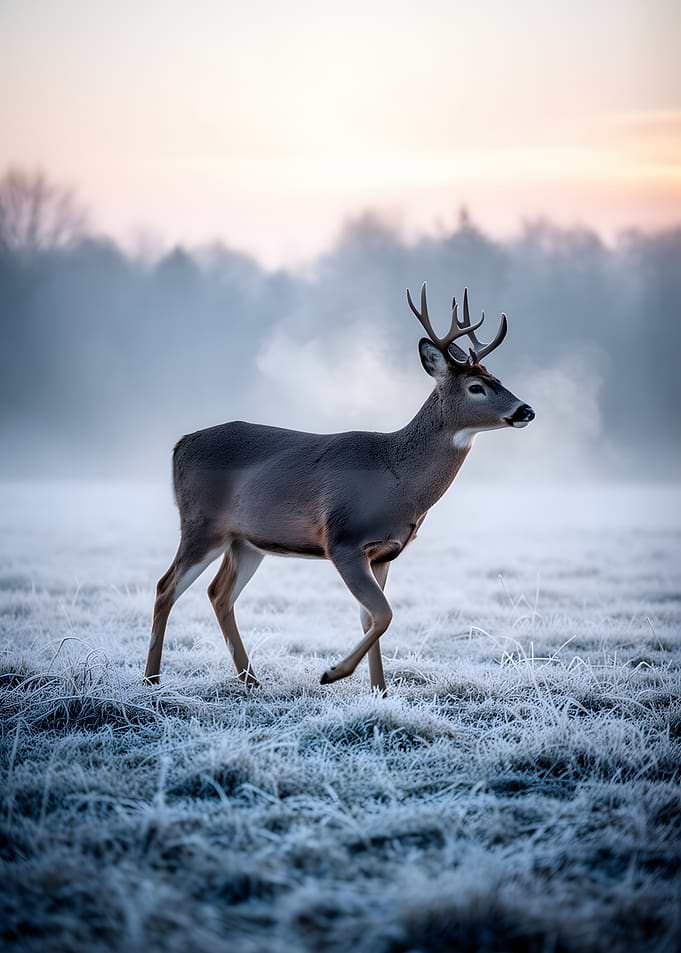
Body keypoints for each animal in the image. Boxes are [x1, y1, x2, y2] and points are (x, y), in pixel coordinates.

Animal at [144, 284, 534, 693]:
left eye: (498, 379)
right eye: (476, 387)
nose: (526, 410)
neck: (399, 482)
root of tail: (180, 444)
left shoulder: (384, 553)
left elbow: (371, 618)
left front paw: (380, 690)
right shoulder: (342, 539)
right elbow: (384, 614)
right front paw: (332, 673)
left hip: (246, 541)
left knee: (218, 594)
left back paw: (251, 681)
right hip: (202, 524)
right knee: (165, 586)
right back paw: (152, 679)